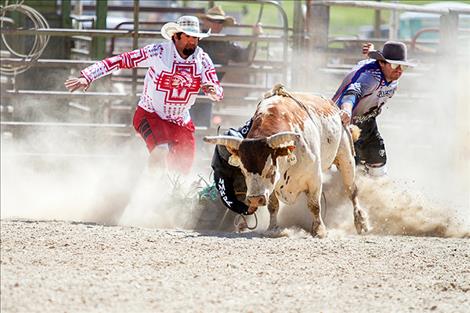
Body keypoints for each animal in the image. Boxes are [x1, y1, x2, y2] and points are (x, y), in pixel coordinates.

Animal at [204, 84, 370, 235]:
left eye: (271, 170)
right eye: (243, 171)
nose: (255, 200)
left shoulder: (314, 178)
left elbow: (314, 205)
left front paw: (319, 230)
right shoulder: (272, 187)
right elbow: (273, 206)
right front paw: (273, 229)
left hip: (346, 157)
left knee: (351, 190)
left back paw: (360, 221)